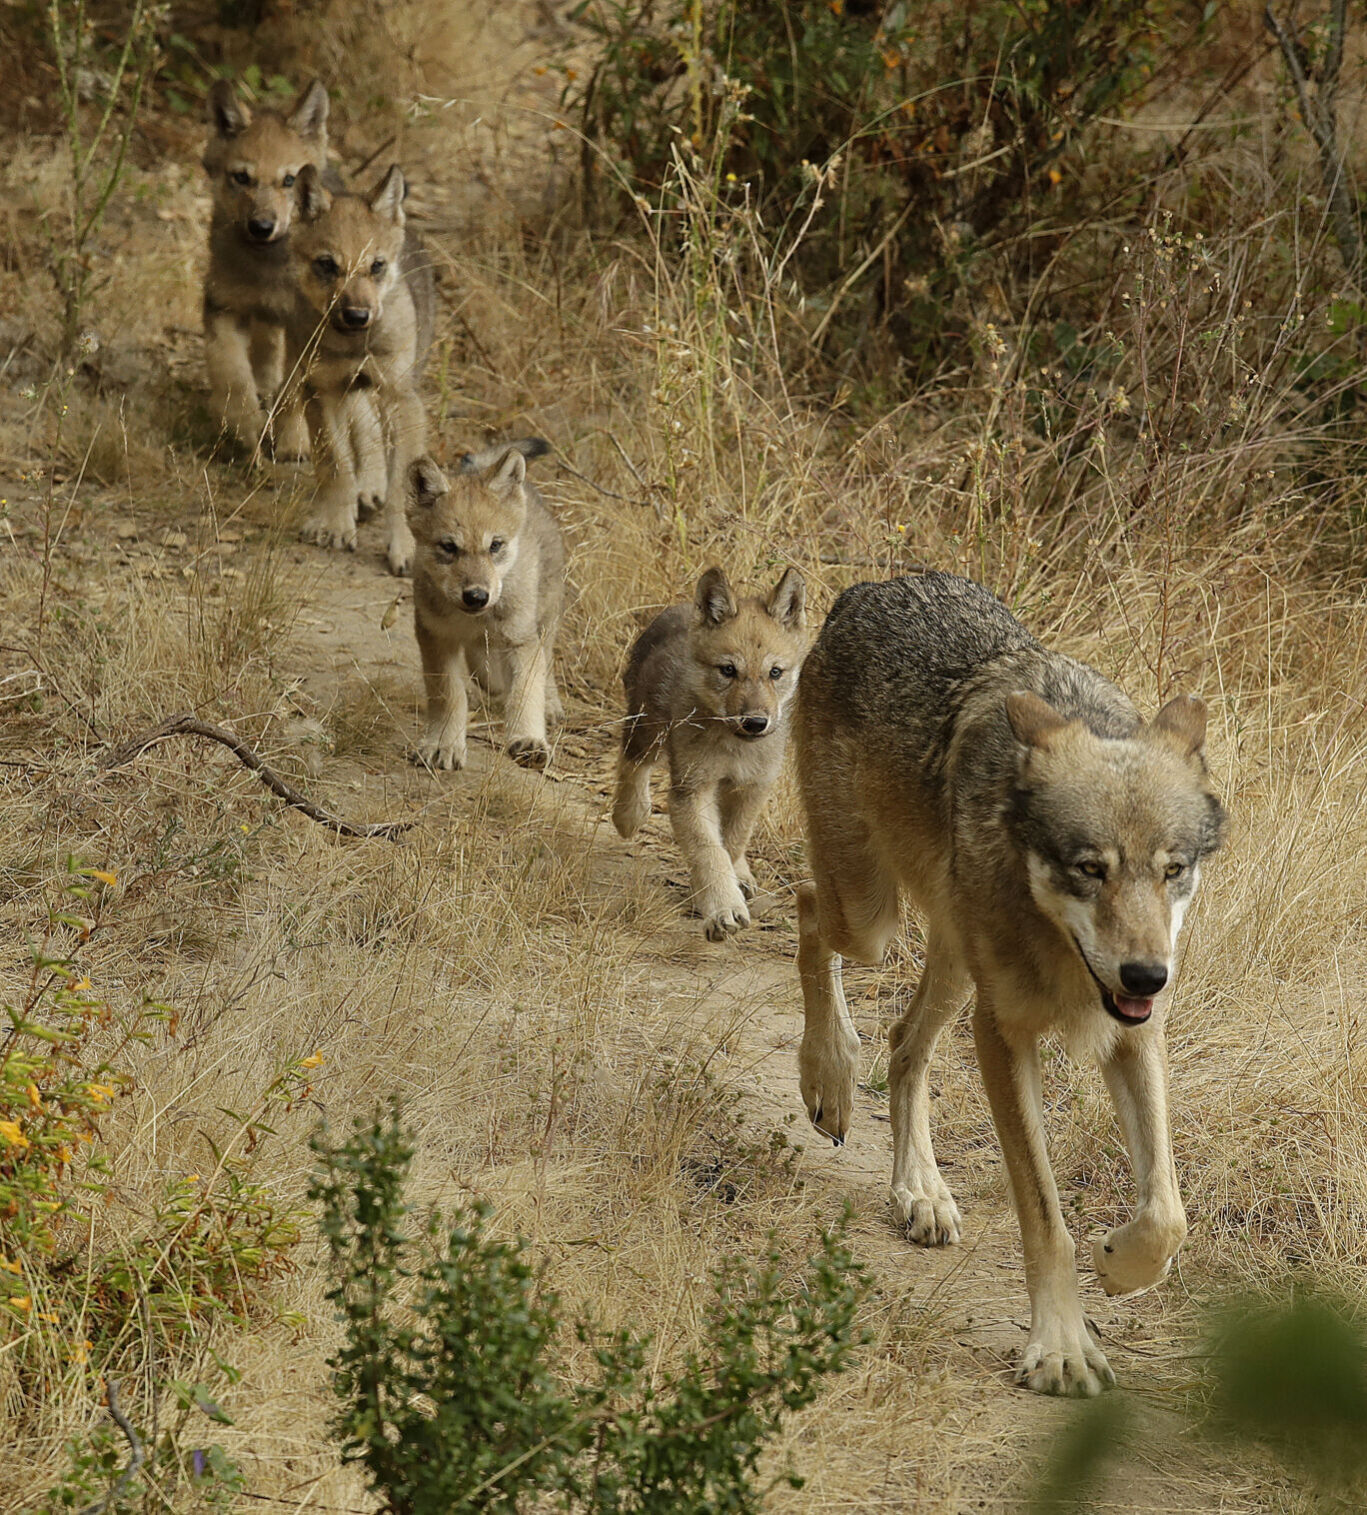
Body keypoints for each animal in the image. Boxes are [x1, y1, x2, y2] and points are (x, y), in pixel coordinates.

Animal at [800, 569, 1224, 1393]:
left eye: (1172, 869)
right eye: (1090, 868)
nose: (1147, 973)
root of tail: (872, 585)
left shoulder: (1135, 1034)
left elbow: (1167, 1213)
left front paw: (1119, 1266)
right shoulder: (1003, 1036)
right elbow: (1046, 1217)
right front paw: (1061, 1347)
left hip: (952, 964)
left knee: (902, 1042)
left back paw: (920, 1192)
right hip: (871, 919)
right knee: (808, 916)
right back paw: (827, 1078)